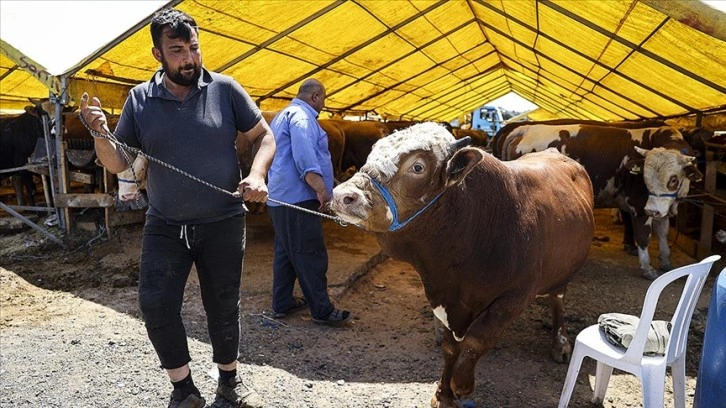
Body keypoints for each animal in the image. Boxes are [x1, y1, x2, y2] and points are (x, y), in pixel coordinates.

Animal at [332, 122, 596, 406]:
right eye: (372, 153)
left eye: (418, 167)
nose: (343, 195)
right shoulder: (445, 297)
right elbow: (451, 348)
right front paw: (443, 393)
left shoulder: (515, 297)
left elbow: (477, 340)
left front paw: (462, 384)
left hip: (564, 272)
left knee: (557, 298)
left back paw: (560, 342)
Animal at [498, 124, 704, 280]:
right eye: (645, 177)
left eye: (673, 179)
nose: (652, 210)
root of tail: (525, 128)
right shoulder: (640, 205)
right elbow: (643, 235)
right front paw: (647, 268)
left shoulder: (662, 207)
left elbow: (662, 232)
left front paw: (665, 261)